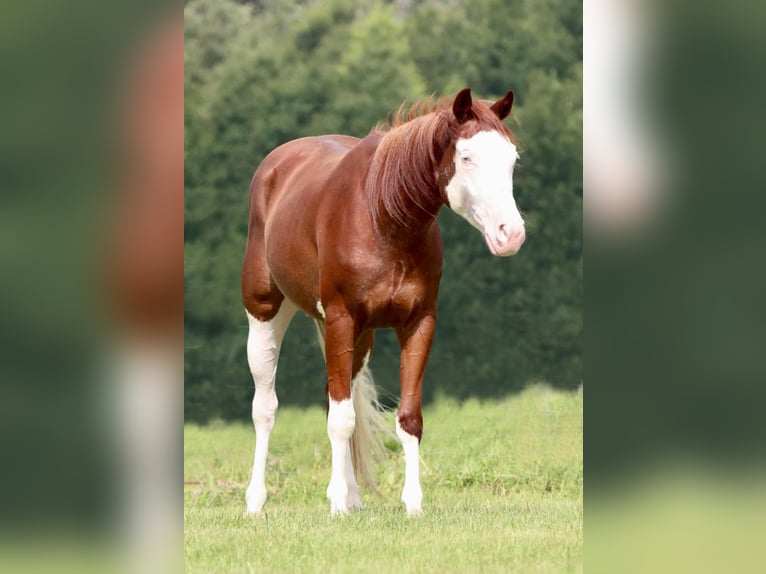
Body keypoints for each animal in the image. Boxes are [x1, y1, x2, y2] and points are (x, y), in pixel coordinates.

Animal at [241, 88, 525, 516]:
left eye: (511, 159)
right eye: (466, 157)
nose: (511, 234)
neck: (383, 218)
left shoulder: (418, 323)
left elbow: (406, 418)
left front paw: (412, 504)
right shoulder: (340, 319)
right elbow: (340, 420)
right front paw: (337, 505)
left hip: (359, 339)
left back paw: (353, 496)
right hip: (266, 313)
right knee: (266, 408)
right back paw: (257, 501)